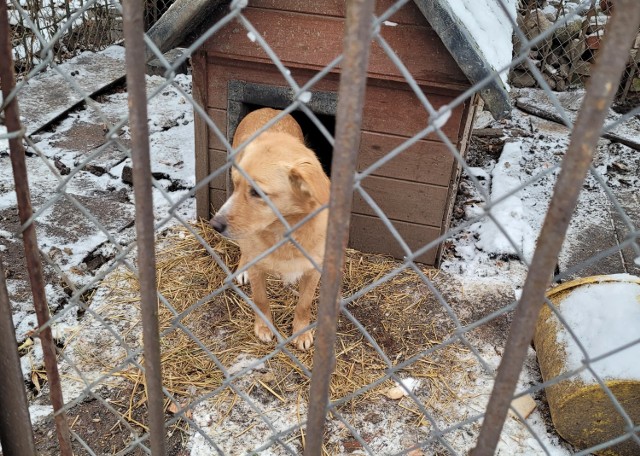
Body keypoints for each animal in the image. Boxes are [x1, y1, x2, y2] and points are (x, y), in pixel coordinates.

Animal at [210, 108, 330, 350]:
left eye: (257, 192)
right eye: (237, 185)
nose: (215, 224)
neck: (286, 231)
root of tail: (268, 109)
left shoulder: (313, 270)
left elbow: (304, 304)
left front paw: (301, 332)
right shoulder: (258, 269)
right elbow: (261, 300)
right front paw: (264, 328)